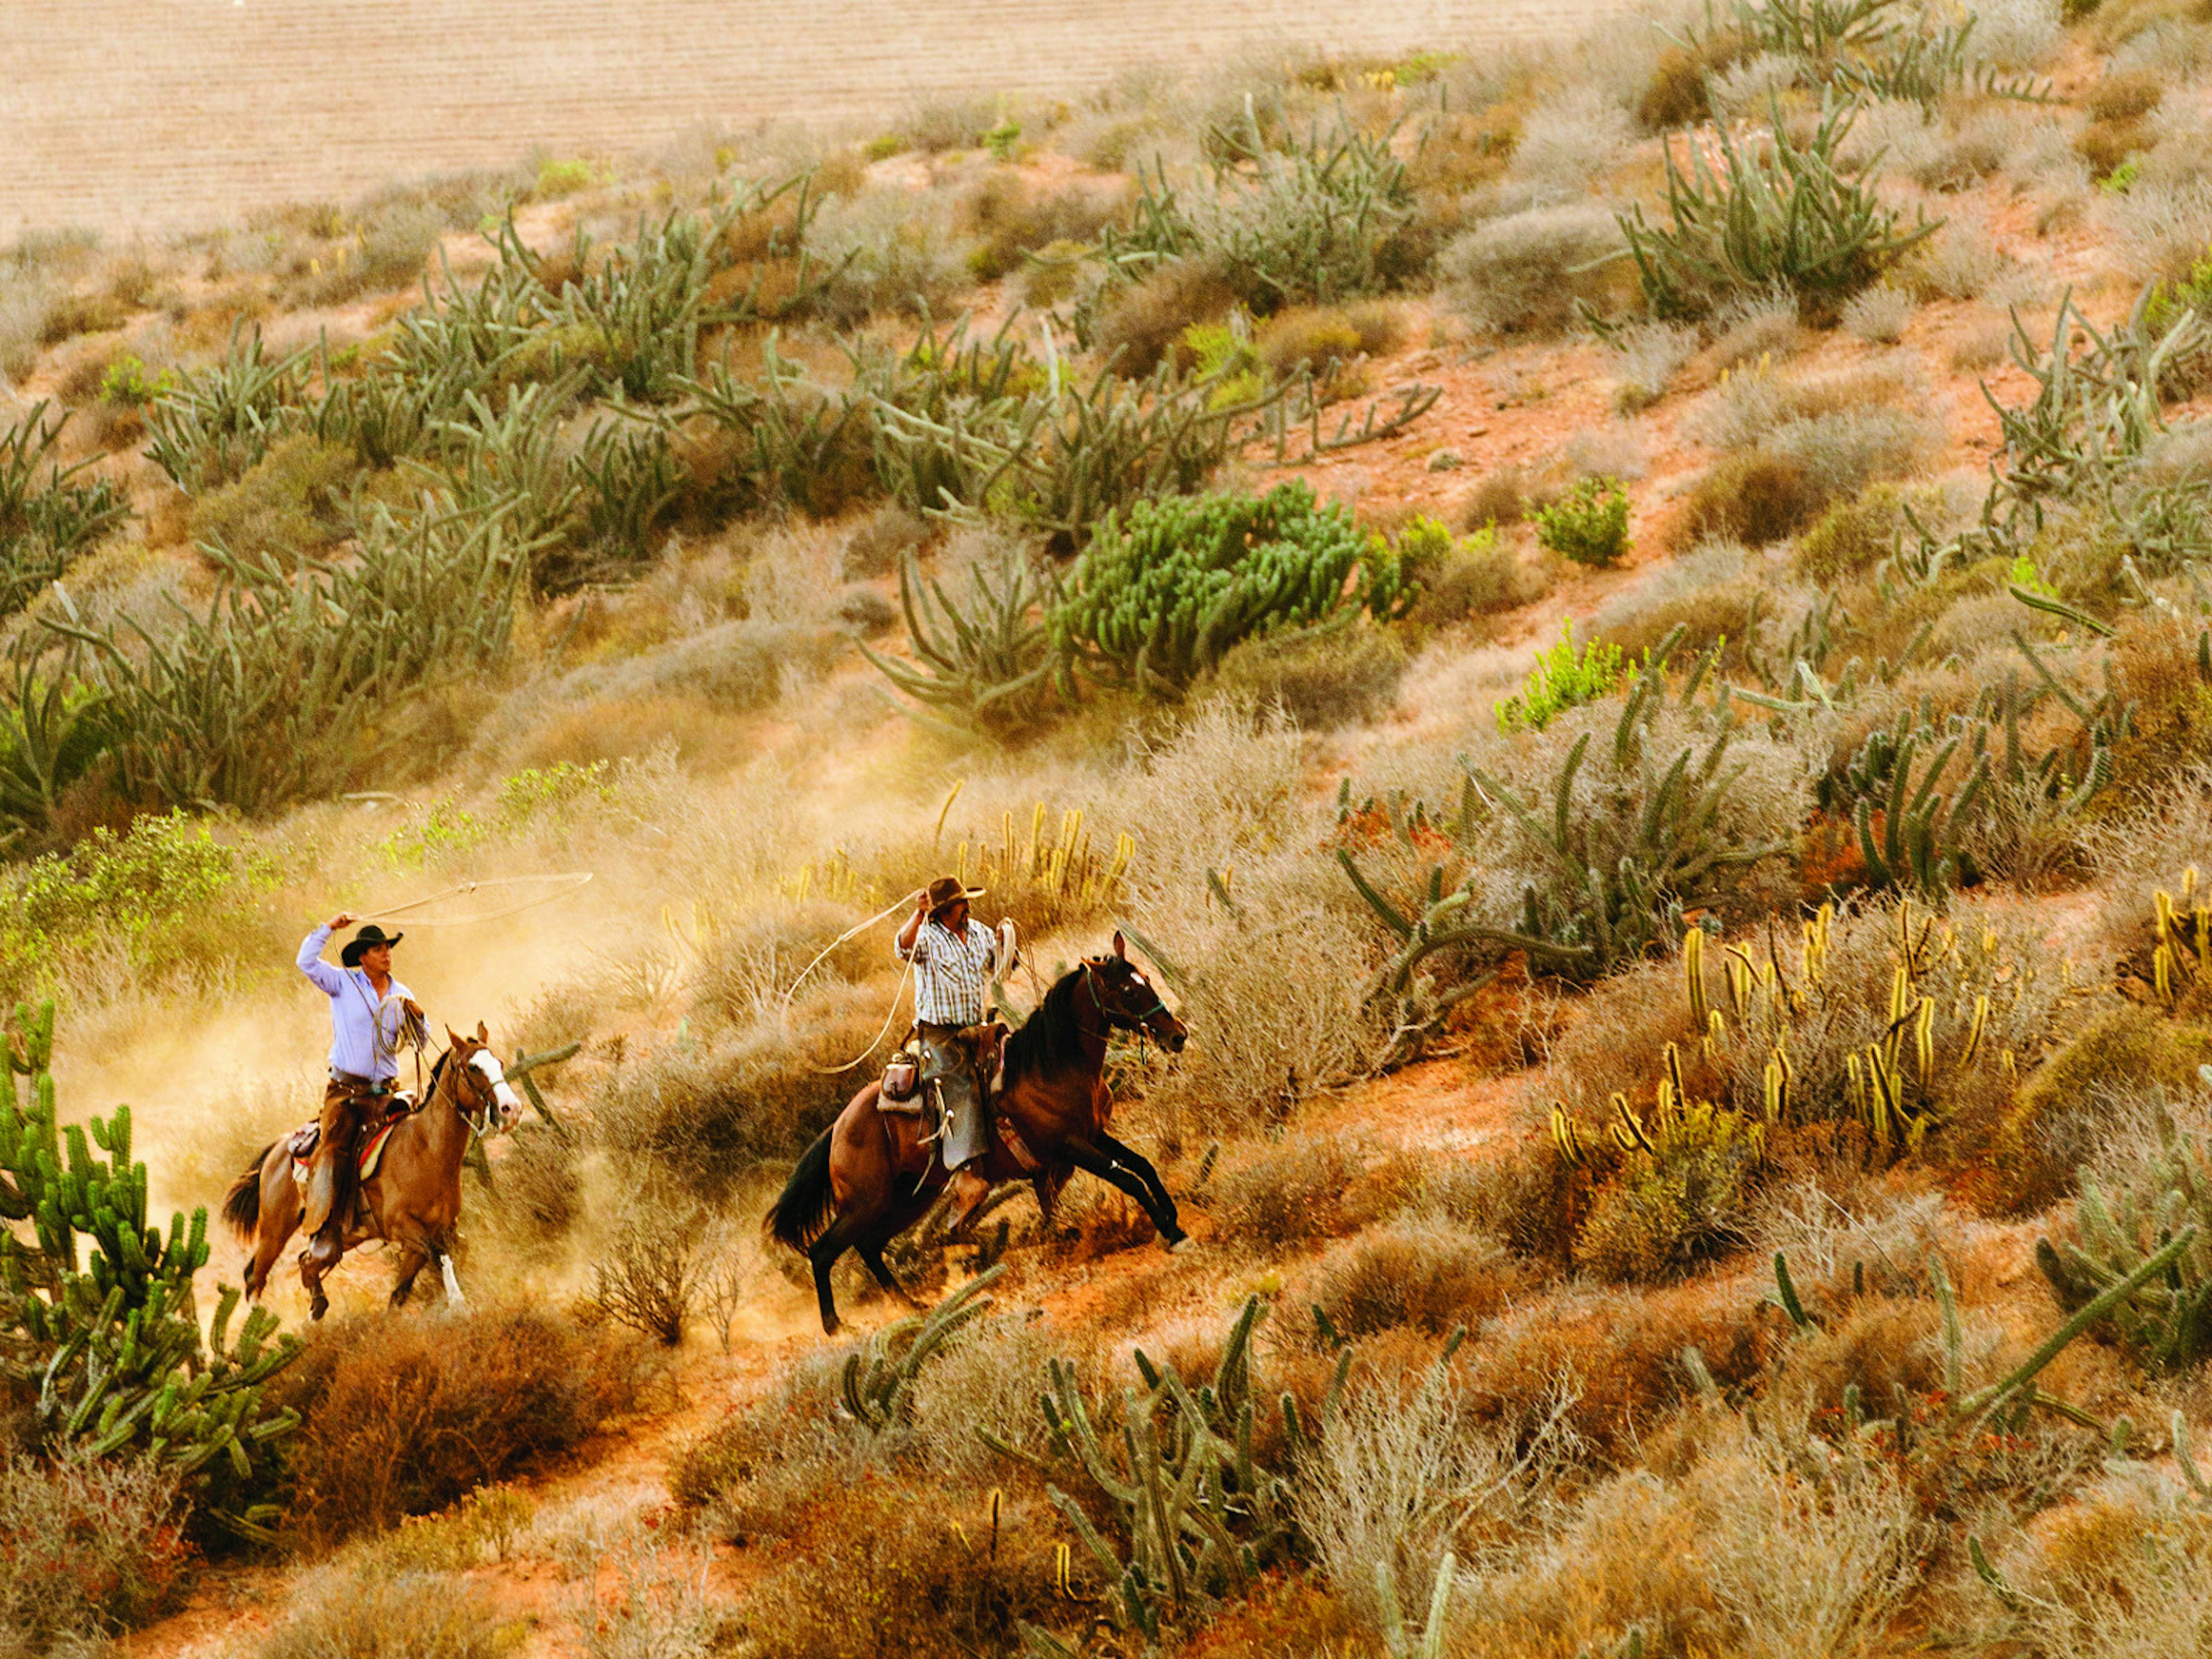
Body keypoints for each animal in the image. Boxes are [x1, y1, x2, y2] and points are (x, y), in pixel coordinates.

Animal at [220, 1022, 522, 1318]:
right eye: (473, 1067)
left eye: (498, 1062)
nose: (512, 1109)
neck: (423, 1149)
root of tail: (278, 1149)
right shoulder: (403, 1225)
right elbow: (440, 1255)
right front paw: (458, 1305)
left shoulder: (441, 1228)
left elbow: (404, 1289)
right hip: (274, 1232)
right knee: (254, 1277)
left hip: (341, 1238)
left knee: (306, 1263)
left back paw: (317, 1310)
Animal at [765, 938, 1185, 1336]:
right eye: (1127, 991)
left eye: (1147, 979)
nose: (1178, 1036)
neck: (1052, 1067)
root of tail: (838, 1127)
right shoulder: (1071, 1145)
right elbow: (1128, 1179)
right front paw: (1168, 1230)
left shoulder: (1095, 1135)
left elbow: (1143, 1168)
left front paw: (1174, 1219)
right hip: (863, 1203)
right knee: (823, 1251)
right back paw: (836, 1326)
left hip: (910, 1197)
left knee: (871, 1246)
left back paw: (910, 1305)